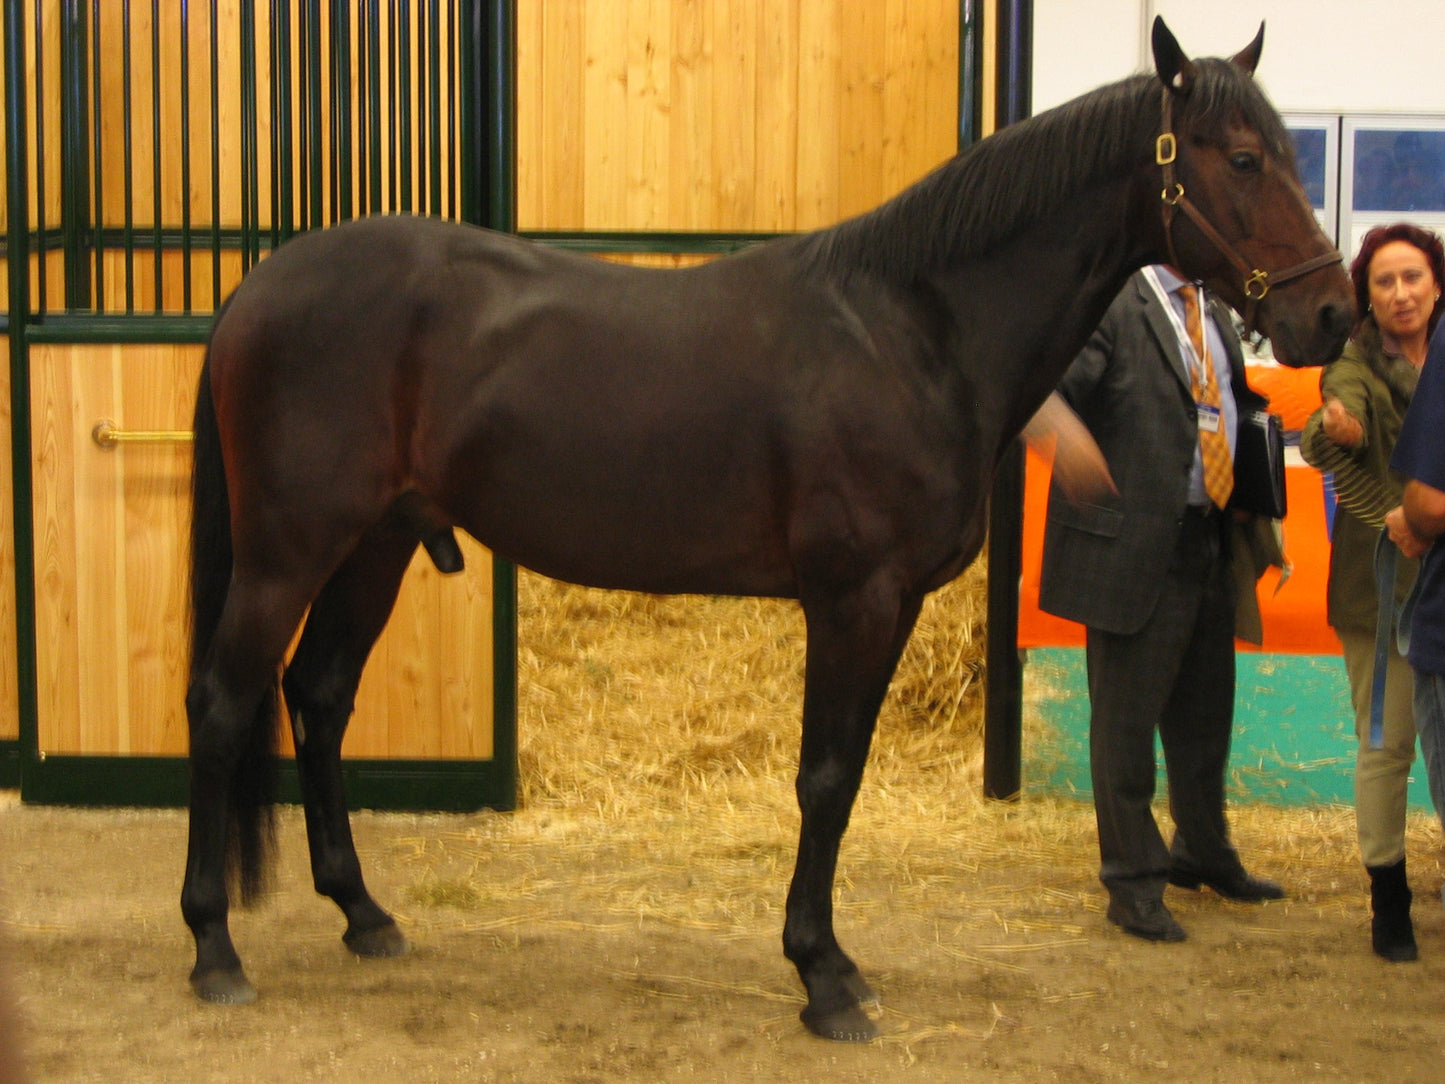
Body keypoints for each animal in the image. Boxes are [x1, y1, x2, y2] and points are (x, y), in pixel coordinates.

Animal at [182, 18, 1352, 1042]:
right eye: (1242, 157)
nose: (1332, 314)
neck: (911, 328)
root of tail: (256, 288)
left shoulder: (887, 607)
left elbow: (843, 777)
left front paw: (833, 962)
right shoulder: (852, 600)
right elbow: (823, 780)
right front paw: (821, 977)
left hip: (373, 545)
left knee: (317, 697)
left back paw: (363, 914)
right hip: (288, 552)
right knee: (226, 702)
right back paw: (213, 948)